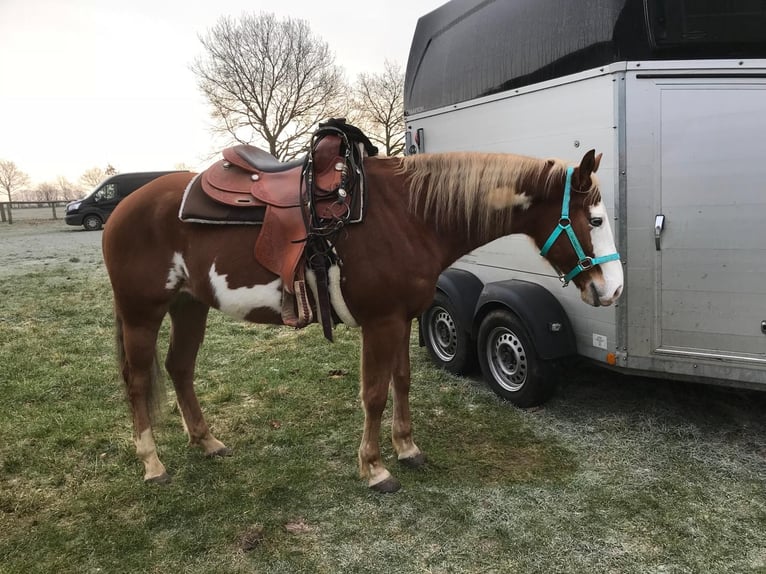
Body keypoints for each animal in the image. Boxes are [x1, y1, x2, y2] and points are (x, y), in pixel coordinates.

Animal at [102, 147, 623, 493]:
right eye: (594, 220)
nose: (613, 289)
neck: (410, 216)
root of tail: (123, 207)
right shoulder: (380, 322)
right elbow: (374, 393)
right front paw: (374, 468)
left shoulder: (402, 318)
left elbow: (402, 381)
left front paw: (407, 448)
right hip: (141, 313)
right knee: (136, 381)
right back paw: (152, 463)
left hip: (189, 306)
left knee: (180, 368)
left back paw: (206, 441)